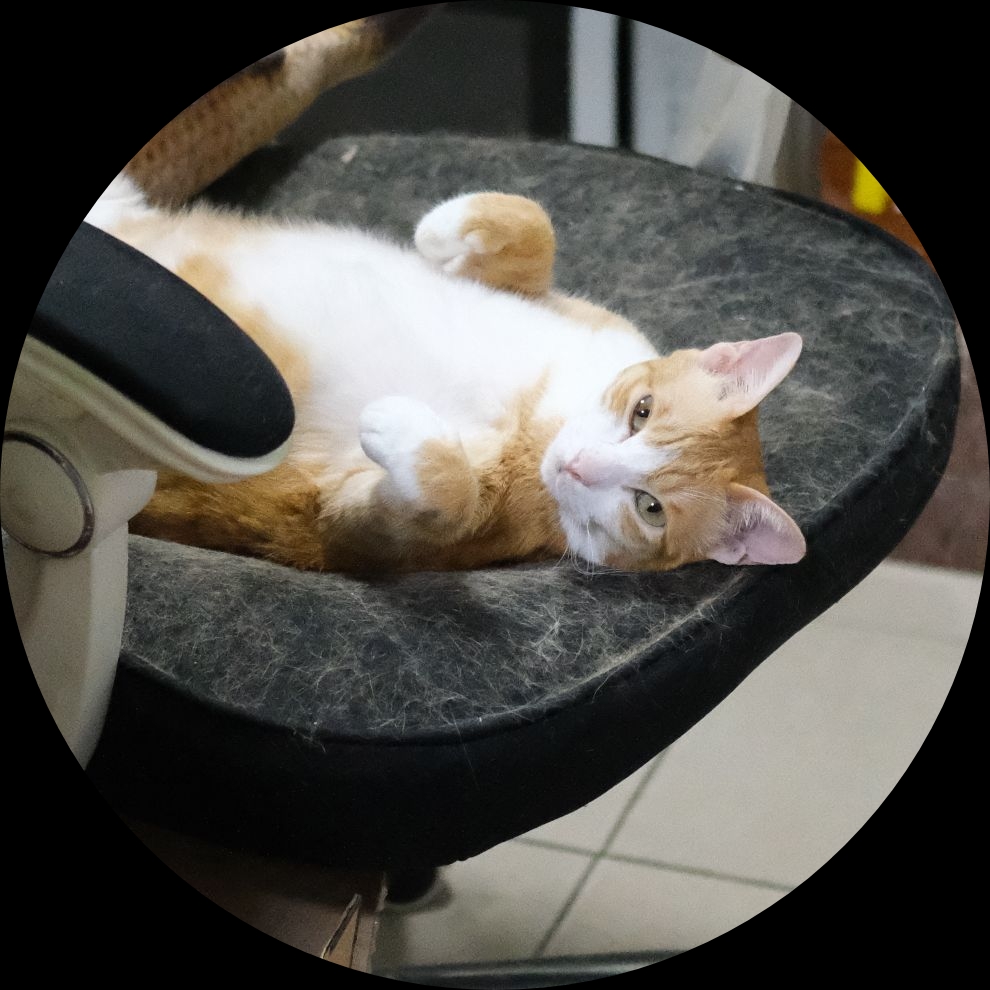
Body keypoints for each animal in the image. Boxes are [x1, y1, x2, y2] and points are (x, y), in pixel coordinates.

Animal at [84, 15, 806, 575]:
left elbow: (445, 493)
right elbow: (533, 225)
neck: (540, 412)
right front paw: (445, 231)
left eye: (649, 507)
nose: (579, 465)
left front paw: (403, 427)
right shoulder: (565, 302)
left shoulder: (360, 524)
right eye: (642, 412)